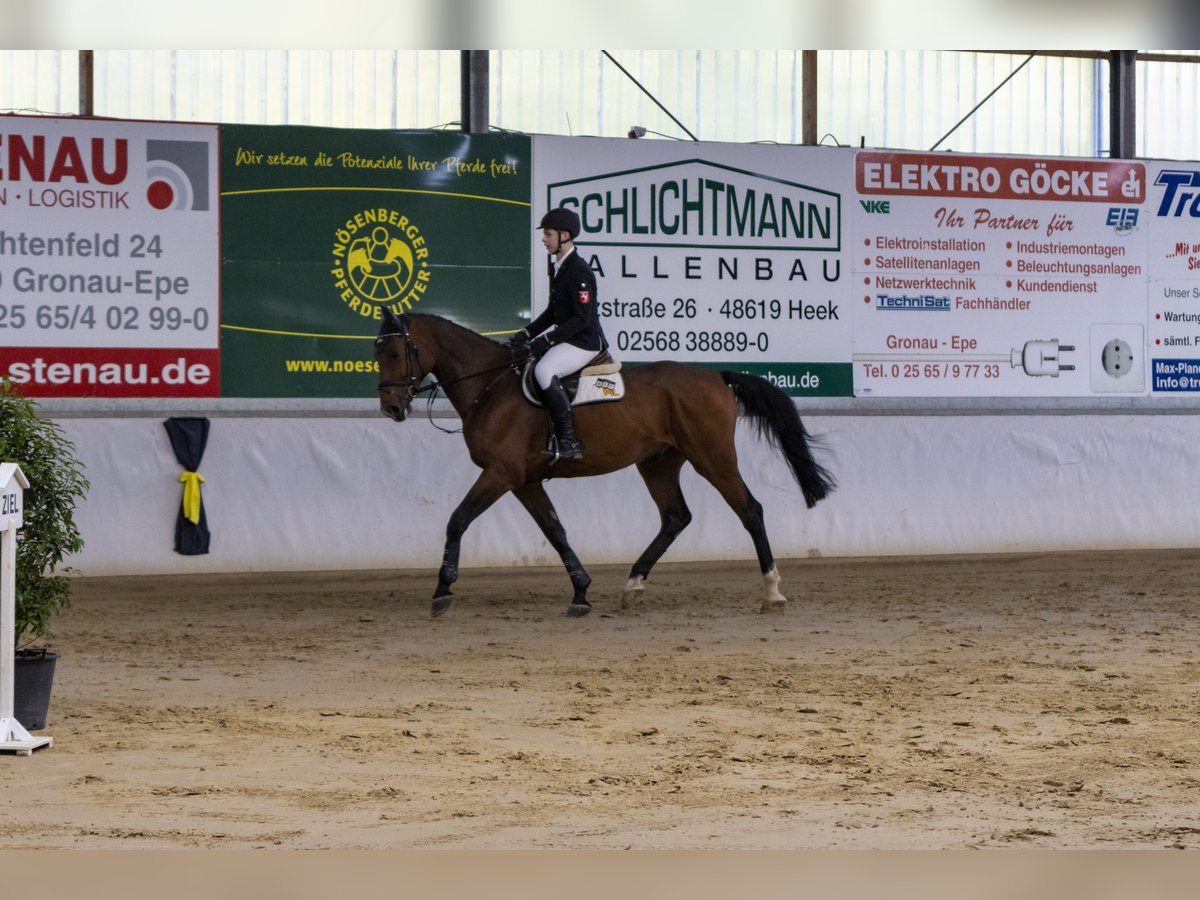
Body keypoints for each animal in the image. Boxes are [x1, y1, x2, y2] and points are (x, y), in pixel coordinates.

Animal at [374, 309, 835, 619]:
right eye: (376, 353)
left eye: (395, 352)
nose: (391, 408)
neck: (490, 386)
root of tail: (716, 376)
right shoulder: (524, 481)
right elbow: (555, 531)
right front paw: (581, 593)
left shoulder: (501, 474)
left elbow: (458, 520)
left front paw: (442, 590)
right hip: (658, 463)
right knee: (675, 517)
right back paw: (633, 585)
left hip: (714, 457)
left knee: (750, 510)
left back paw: (772, 593)